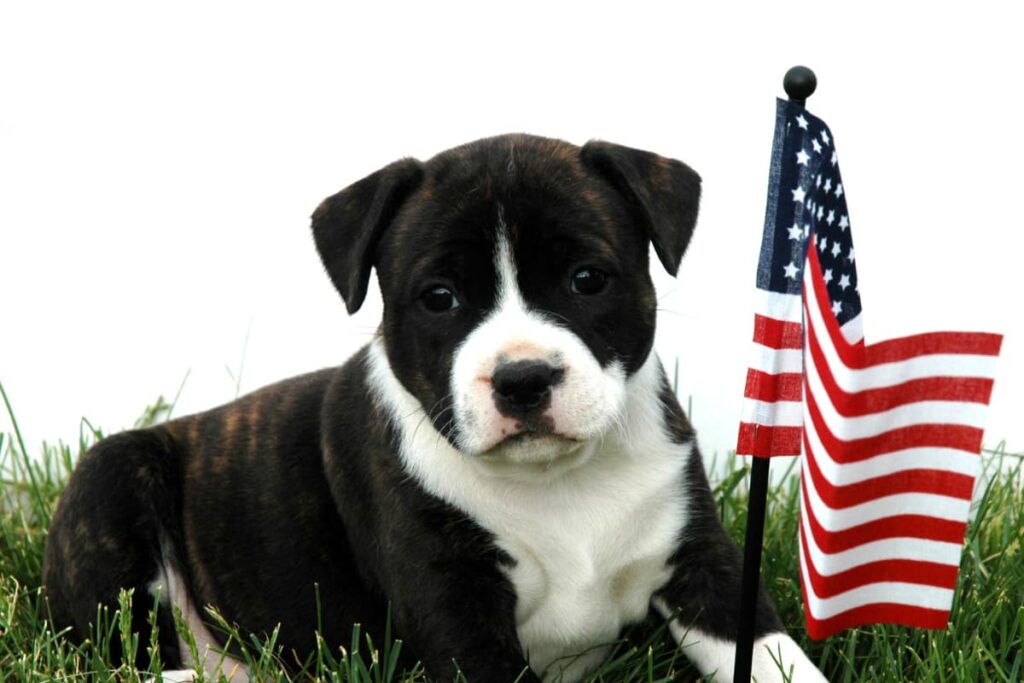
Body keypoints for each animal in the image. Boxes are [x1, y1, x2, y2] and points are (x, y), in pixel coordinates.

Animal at [44, 135, 823, 683]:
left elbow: (774, 653)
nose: (523, 378)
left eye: (587, 279)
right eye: (439, 297)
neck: (557, 481)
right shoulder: (456, 608)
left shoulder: (705, 568)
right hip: (111, 479)